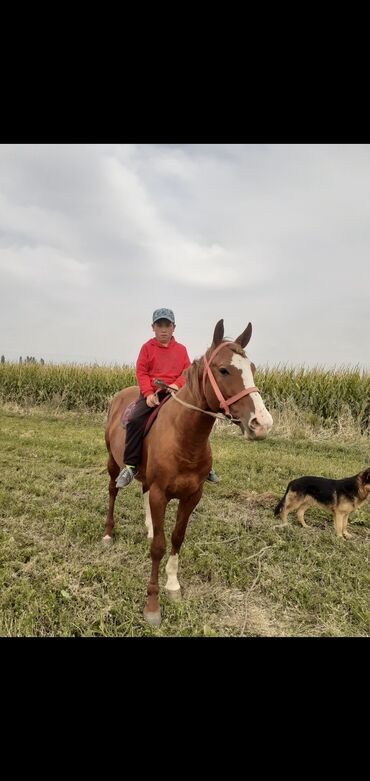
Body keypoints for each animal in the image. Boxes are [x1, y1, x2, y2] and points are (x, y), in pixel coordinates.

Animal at [103, 316, 272, 620]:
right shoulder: (161, 494)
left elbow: (176, 538)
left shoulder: (193, 495)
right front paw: (152, 604)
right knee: (112, 491)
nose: (262, 424)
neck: (184, 439)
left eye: (252, 369)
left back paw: (148, 527)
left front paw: (172, 584)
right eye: (224, 369)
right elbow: (158, 547)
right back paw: (109, 533)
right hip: (113, 462)